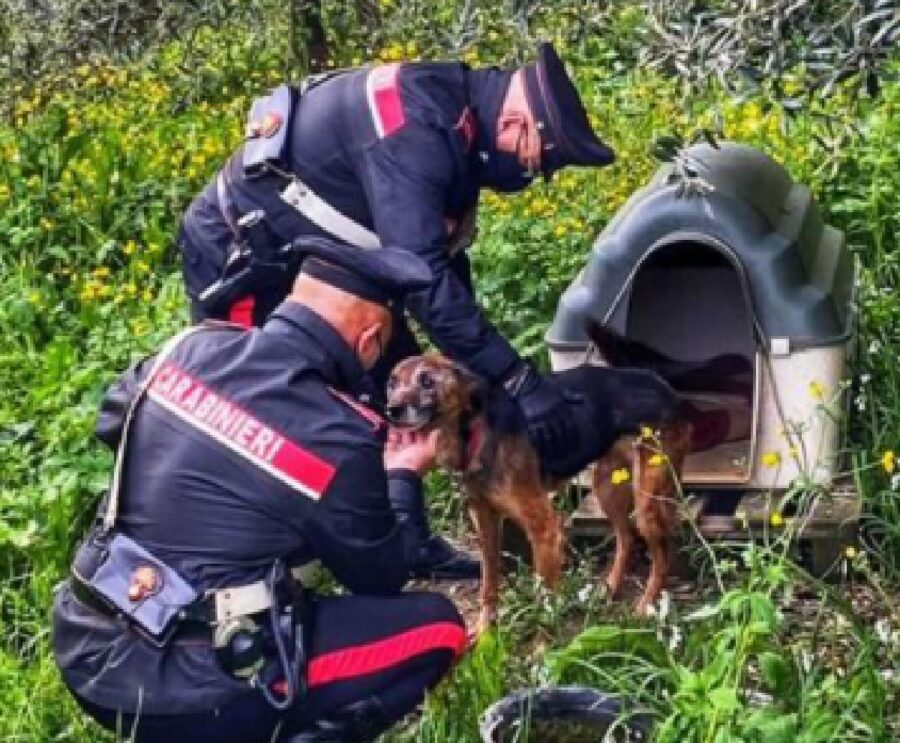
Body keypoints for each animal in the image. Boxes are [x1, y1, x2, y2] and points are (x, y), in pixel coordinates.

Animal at [386, 326, 696, 632]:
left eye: (427, 381)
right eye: (391, 383)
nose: (391, 410)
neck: (473, 434)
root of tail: (660, 384)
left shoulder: (545, 528)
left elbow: (545, 604)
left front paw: (543, 645)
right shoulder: (484, 521)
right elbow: (489, 583)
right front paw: (485, 632)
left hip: (647, 502)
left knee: (662, 554)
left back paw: (646, 605)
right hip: (607, 487)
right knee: (627, 538)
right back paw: (609, 588)